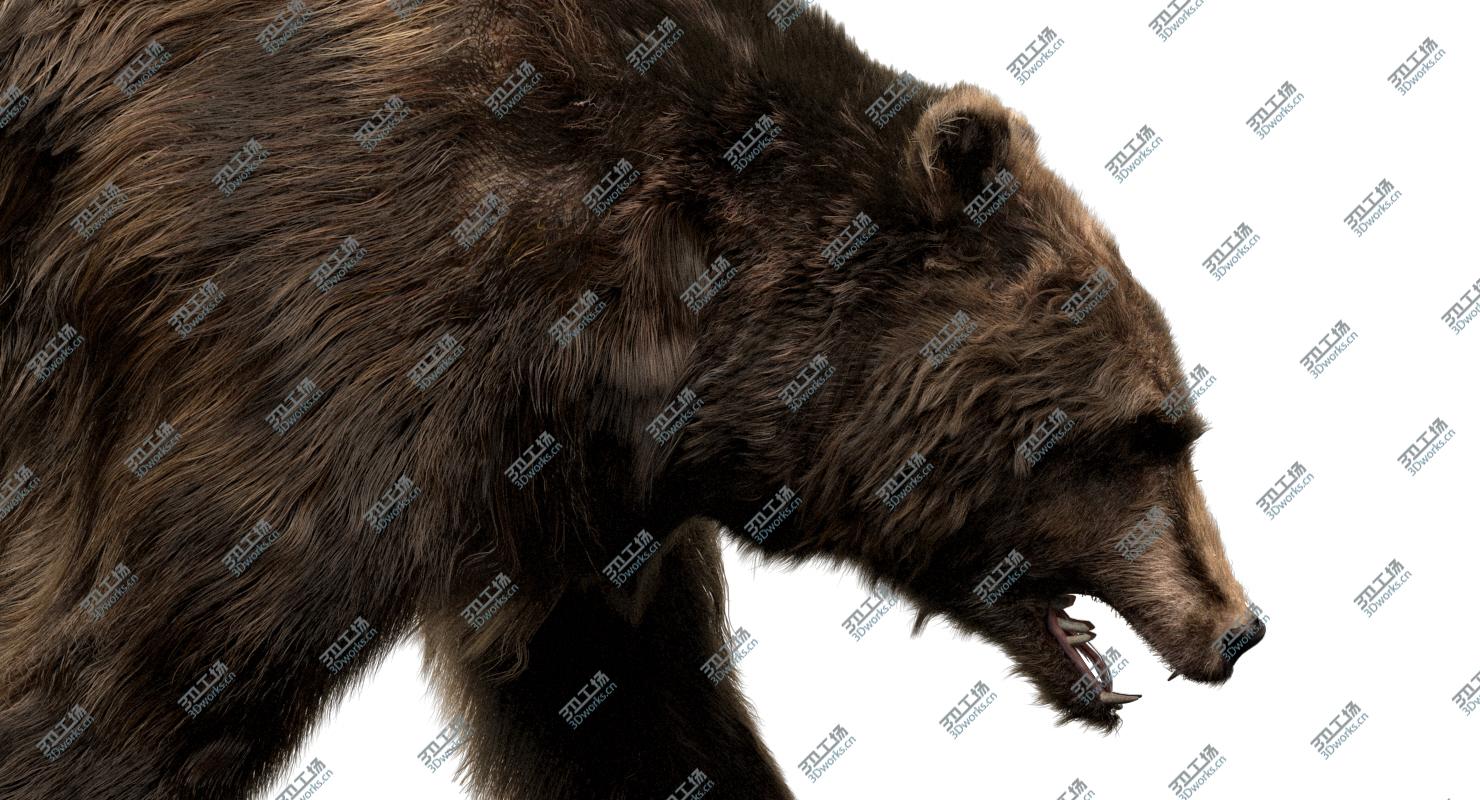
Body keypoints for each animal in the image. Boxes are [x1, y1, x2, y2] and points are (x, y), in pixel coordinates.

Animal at [0, 0, 1266, 797]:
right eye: (1148, 431)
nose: (1239, 625)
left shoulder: (574, 503)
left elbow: (636, 717)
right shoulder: (311, 323)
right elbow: (132, 669)